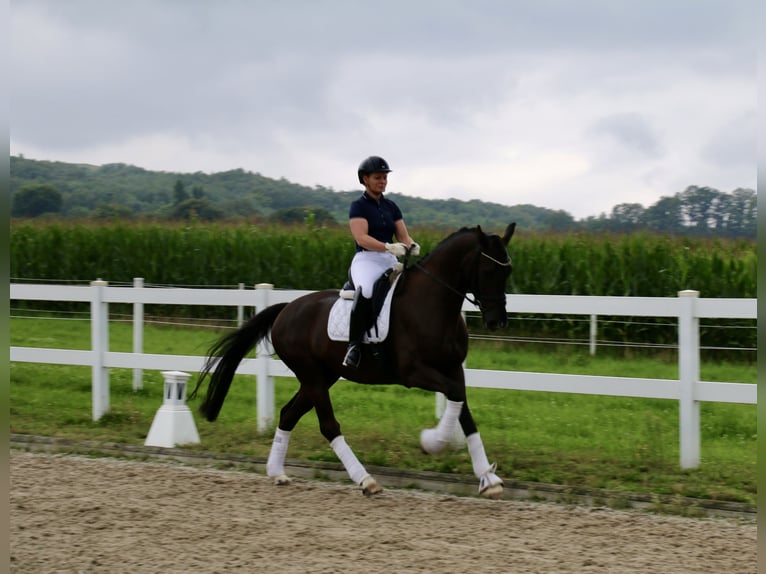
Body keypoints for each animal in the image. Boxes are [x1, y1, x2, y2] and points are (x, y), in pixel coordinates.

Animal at [190, 224, 516, 500]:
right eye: (489, 268)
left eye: (509, 270)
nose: (498, 322)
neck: (434, 304)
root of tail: (286, 309)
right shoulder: (414, 372)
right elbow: (456, 399)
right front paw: (432, 441)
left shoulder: (453, 369)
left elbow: (463, 409)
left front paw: (488, 479)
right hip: (313, 376)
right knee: (328, 426)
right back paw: (365, 480)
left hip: (322, 376)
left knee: (288, 414)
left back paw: (277, 473)